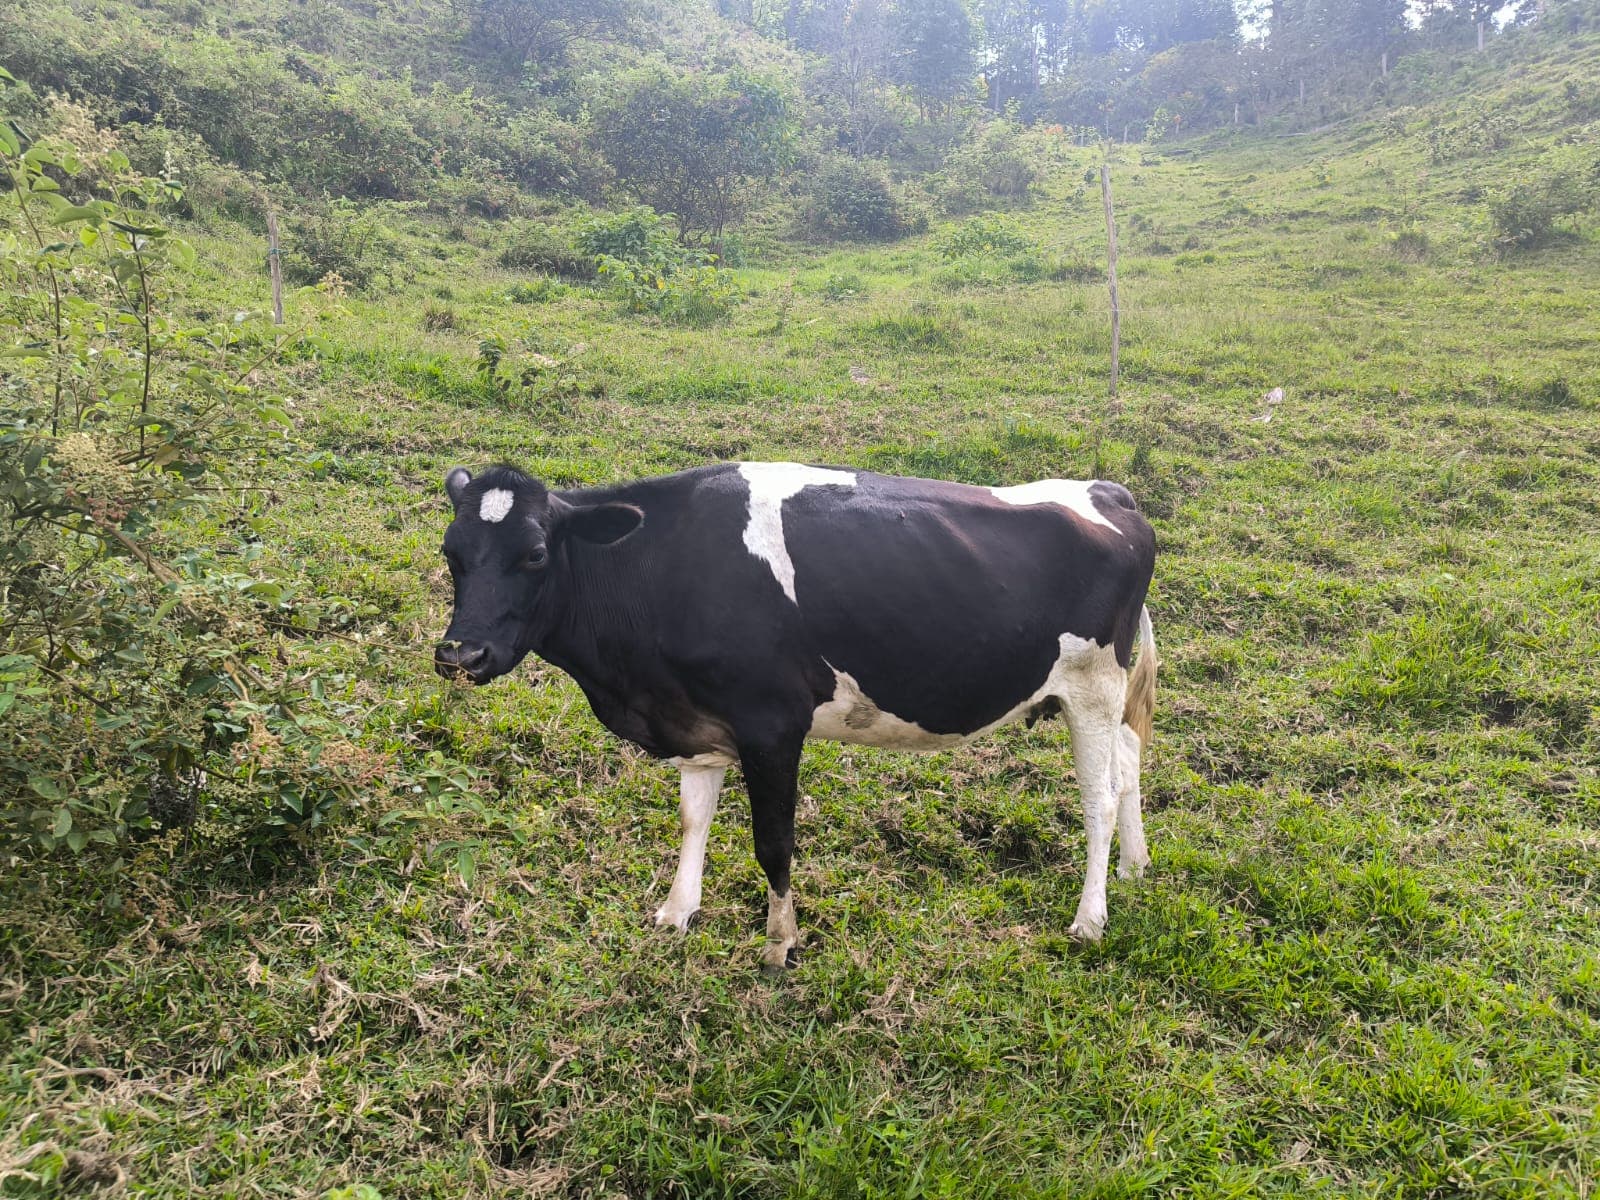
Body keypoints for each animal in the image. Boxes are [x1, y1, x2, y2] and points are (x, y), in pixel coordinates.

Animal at [434, 462, 1157, 972]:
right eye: (452, 554)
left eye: (534, 553)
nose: (460, 652)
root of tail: (1111, 494)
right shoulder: (696, 722)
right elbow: (694, 818)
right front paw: (676, 913)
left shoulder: (772, 724)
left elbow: (773, 842)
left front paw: (781, 941)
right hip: (1109, 694)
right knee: (1130, 768)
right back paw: (1134, 869)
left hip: (1092, 686)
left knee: (1099, 797)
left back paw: (1089, 919)